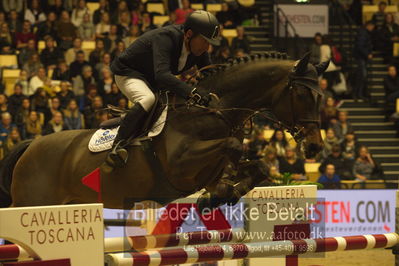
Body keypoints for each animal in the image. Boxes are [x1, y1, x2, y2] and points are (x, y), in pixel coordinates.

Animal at [0, 52, 330, 210]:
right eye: (302, 95)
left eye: (321, 97)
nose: (315, 147)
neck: (214, 111)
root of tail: (31, 146)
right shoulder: (180, 166)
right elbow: (232, 147)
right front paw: (219, 192)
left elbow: (257, 165)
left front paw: (221, 194)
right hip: (34, 201)